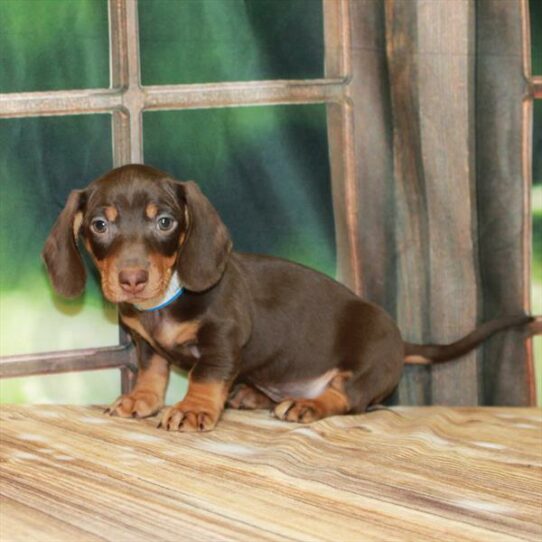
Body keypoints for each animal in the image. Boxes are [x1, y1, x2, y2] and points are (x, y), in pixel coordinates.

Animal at [41, 166, 532, 434]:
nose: (132, 280)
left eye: (164, 221)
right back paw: (250, 395)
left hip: (366, 365)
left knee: (349, 398)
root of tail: (400, 343)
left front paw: (193, 410)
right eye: (100, 225)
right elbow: (152, 372)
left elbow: (205, 377)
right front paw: (140, 400)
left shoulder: (223, 340)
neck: (169, 297)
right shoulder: (144, 344)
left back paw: (307, 404)